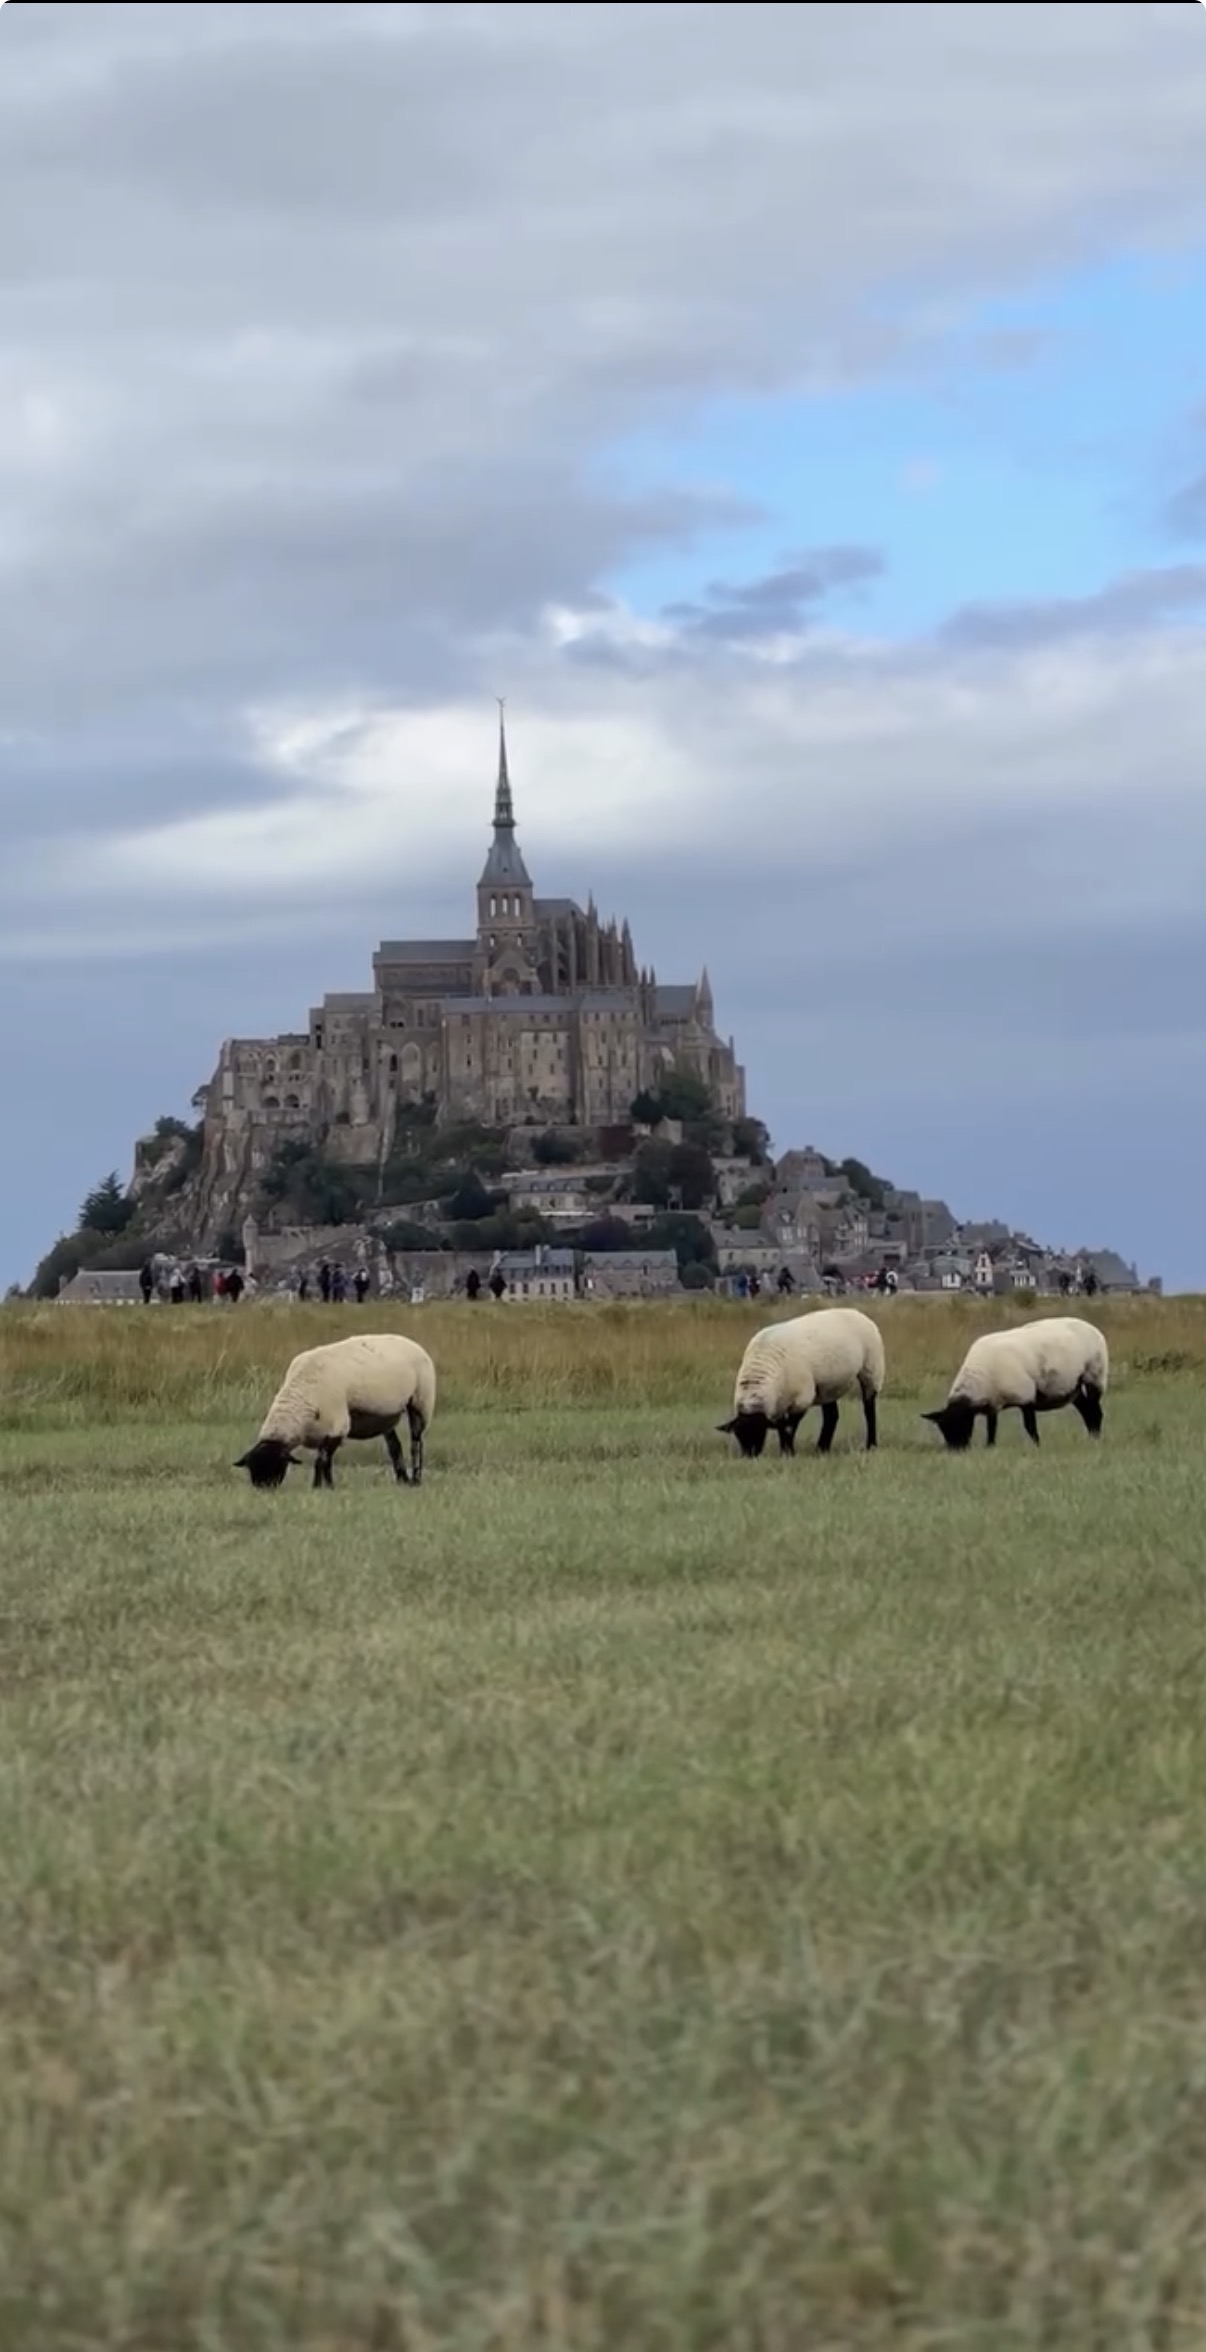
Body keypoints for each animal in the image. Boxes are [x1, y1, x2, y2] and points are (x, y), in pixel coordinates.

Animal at [234, 1331, 437, 1491]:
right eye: (252, 1467)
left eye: (274, 1464)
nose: (263, 1489)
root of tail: (411, 1342)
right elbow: (324, 1461)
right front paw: (324, 1486)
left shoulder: (337, 1426)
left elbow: (322, 1461)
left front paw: (322, 1487)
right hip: (385, 1417)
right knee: (395, 1447)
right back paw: (403, 1479)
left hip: (421, 1402)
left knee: (416, 1444)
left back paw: (416, 1479)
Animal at [717, 1305, 886, 1458]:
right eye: (738, 1434)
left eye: (760, 1431)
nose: (749, 1456)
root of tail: (856, 1312)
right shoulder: (779, 1403)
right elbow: (782, 1427)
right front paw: (785, 1452)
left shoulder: (802, 1399)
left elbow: (788, 1428)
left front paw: (788, 1453)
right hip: (827, 1385)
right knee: (832, 1416)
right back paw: (822, 1449)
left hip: (871, 1370)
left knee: (869, 1409)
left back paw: (871, 1445)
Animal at [920, 1314, 1108, 1451]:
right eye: (943, 1429)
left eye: (960, 1423)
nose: (956, 1450)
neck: (981, 1379)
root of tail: (1092, 1327)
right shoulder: (993, 1403)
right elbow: (992, 1427)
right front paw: (990, 1446)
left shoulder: (1026, 1396)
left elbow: (1029, 1426)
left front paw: (1037, 1446)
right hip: (1073, 1387)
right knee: (1086, 1411)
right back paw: (1091, 1436)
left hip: (1095, 1375)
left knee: (1095, 1411)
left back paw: (1097, 1438)